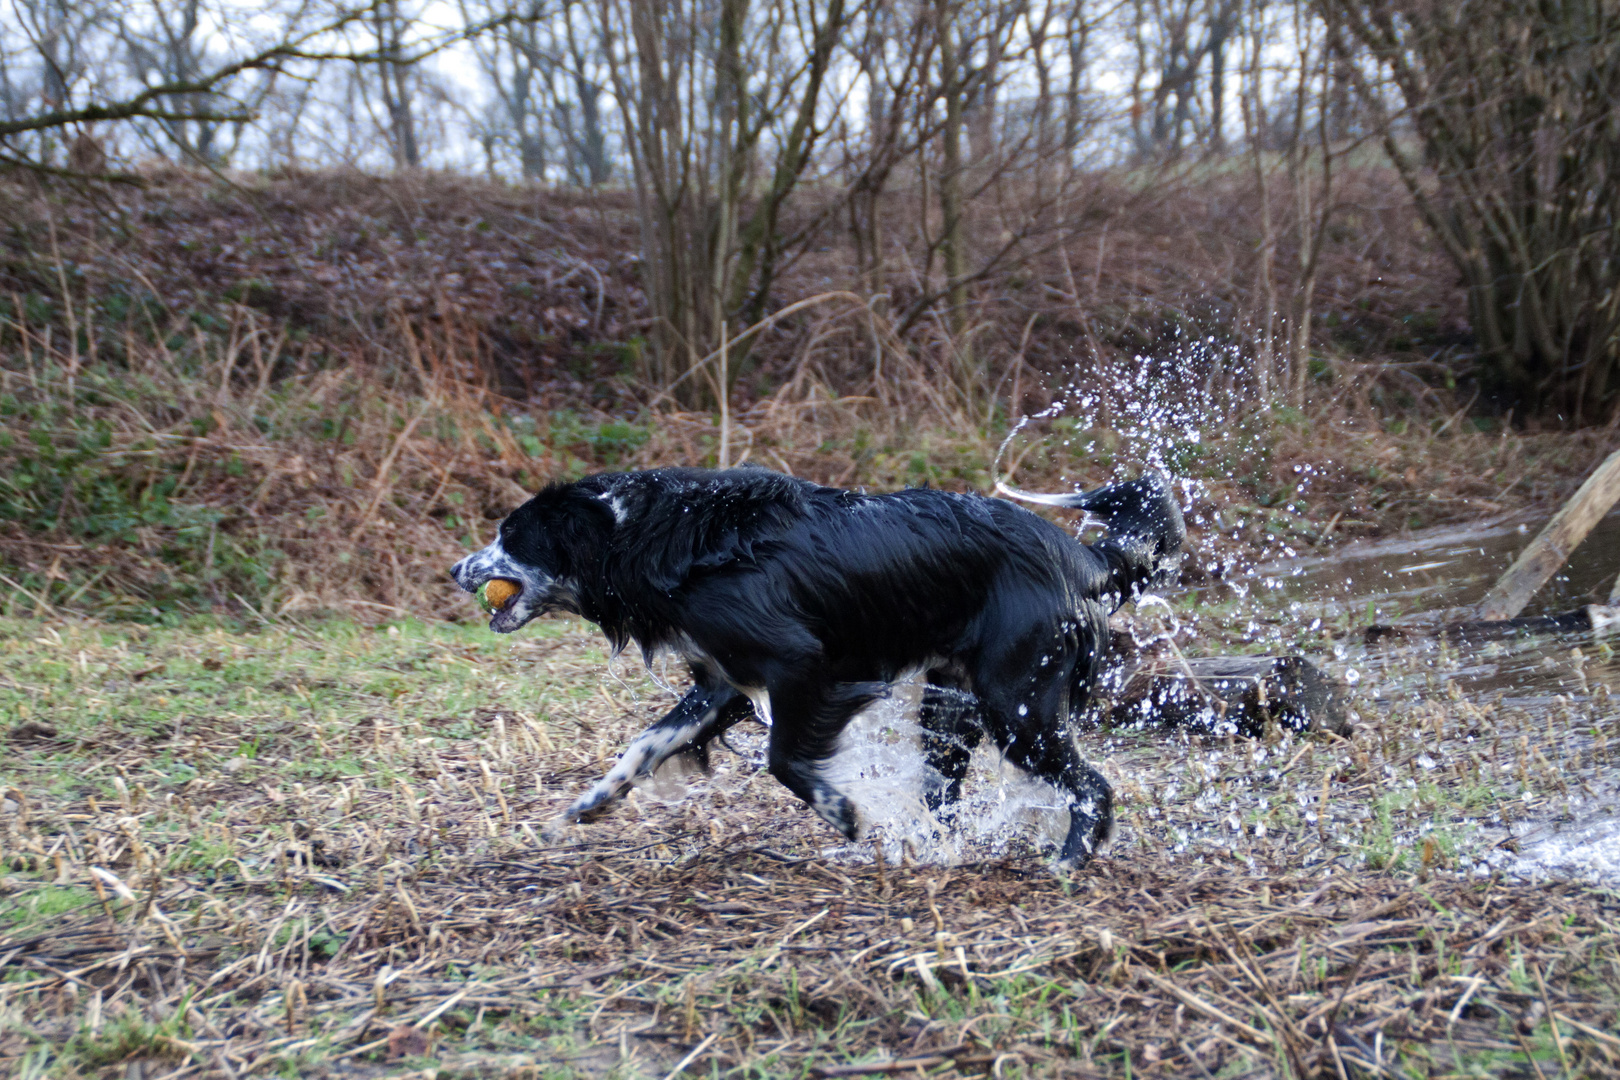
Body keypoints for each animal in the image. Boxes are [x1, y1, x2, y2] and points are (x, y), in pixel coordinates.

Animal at [450, 466, 1185, 867]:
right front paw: (586, 807)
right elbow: (644, 745)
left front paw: (845, 815)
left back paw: (1067, 862)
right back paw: (934, 855)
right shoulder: (722, 681)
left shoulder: (801, 664)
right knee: (944, 797)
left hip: (1018, 704)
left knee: (1093, 788)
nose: (457, 570)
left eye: (510, 538)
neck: (641, 535)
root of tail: (1084, 558)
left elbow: (783, 760)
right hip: (950, 705)